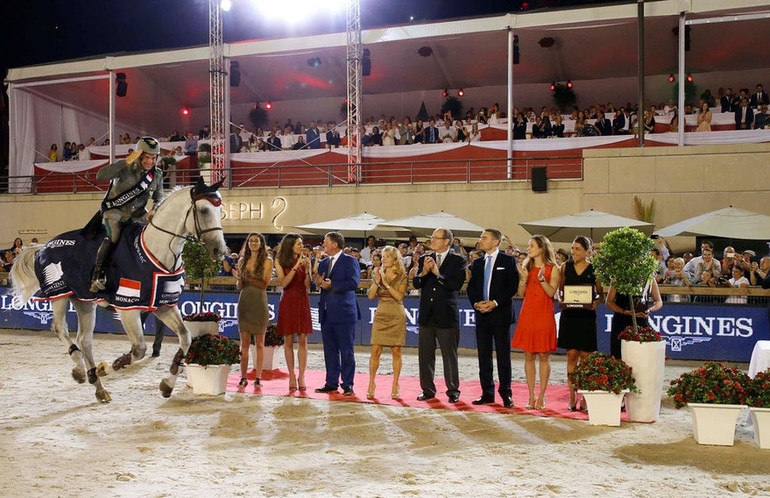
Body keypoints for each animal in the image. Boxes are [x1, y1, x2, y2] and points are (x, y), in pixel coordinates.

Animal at [11, 181, 225, 402]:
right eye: (204, 210)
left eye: (221, 212)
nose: (220, 250)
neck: (156, 252)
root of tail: (44, 247)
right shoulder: (127, 307)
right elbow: (139, 350)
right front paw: (106, 367)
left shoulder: (164, 306)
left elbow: (185, 337)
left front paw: (167, 384)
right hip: (59, 294)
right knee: (60, 329)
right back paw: (84, 370)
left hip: (84, 301)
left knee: (84, 340)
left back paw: (95, 383)